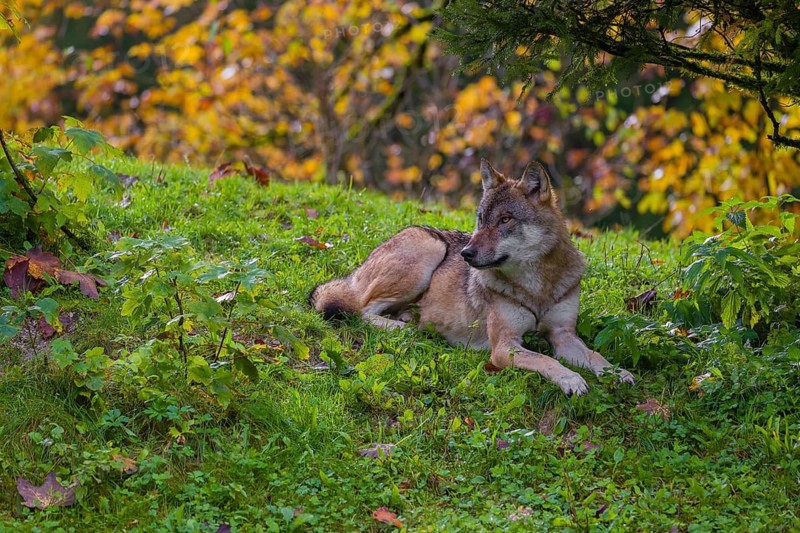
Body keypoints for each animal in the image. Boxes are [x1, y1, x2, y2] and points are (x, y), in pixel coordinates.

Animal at [309, 159, 634, 395]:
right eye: (480, 219)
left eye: (505, 220)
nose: (466, 253)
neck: (537, 287)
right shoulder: (503, 347)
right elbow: (546, 358)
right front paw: (571, 380)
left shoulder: (563, 334)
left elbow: (595, 356)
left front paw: (618, 373)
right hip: (429, 249)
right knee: (361, 310)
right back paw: (408, 328)